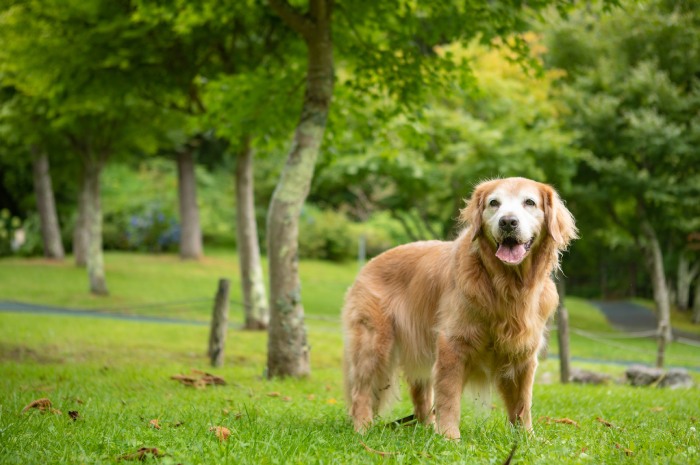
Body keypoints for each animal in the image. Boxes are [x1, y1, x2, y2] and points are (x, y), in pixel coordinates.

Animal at [342, 176, 576, 436]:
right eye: (494, 203)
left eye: (529, 202)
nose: (507, 222)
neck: (506, 285)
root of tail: (368, 265)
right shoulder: (452, 344)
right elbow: (449, 397)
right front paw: (448, 436)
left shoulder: (523, 353)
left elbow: (523, 403)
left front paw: (526, 437)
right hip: (374, 344)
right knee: (361, 392)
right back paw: (362, 428)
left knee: (420, 393)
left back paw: (426, 427)